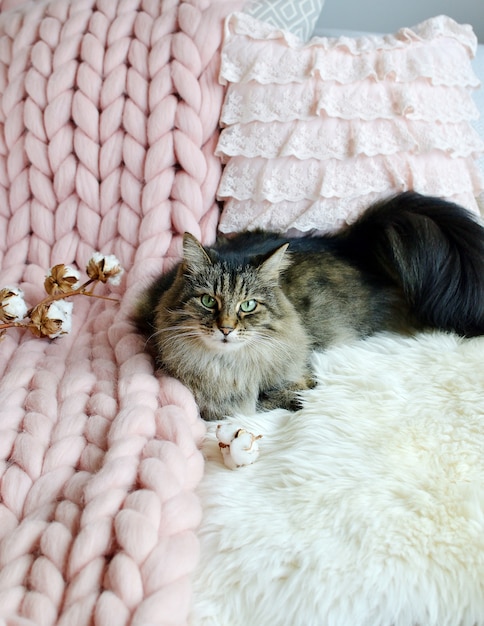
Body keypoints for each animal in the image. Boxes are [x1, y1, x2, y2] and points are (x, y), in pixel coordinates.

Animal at [134, 190, 484, 420]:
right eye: (208, 301)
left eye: (248, 306)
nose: (226, 329)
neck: (228, 367)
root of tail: (347, 242)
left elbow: (281, 390)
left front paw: (295, 395)